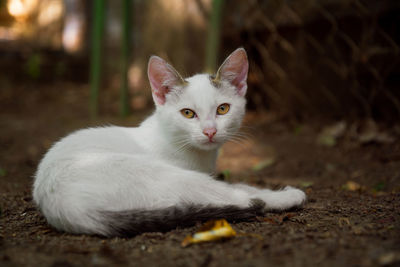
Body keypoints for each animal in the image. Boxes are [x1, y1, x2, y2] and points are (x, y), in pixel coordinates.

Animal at [33, 48, 306, 237]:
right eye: (187, 113)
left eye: (223, 109)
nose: (209, 131)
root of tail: (64, 206)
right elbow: (240, 189)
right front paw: (284, 193)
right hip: (158, 175)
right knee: (232, 196)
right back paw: (286, 197)